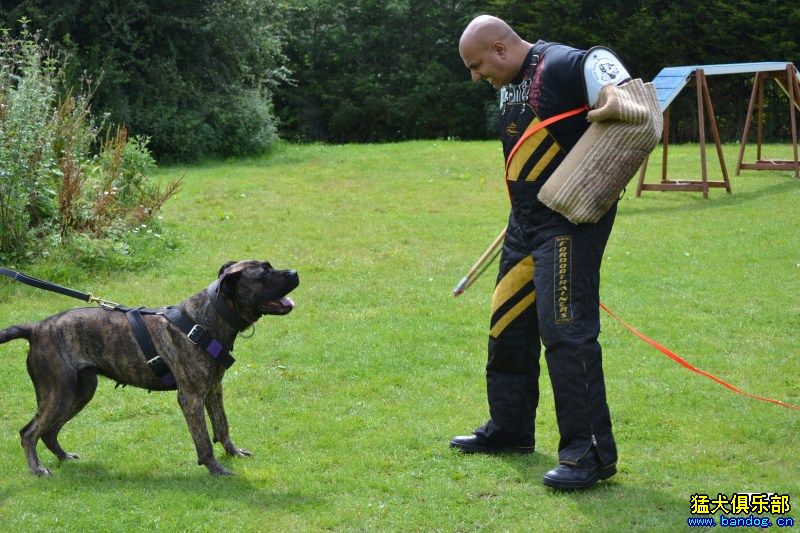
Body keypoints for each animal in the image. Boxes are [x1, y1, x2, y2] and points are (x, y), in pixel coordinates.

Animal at [0, 260, 298, 476]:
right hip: (58, 394)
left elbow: (222, 426)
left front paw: (233, 453)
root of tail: (36, 328)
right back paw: (37, 468)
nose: (295, 272)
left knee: (49, 432)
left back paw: (64, 457)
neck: (205, 319)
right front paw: (215, 469)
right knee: (29, 433)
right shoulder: (191, 397)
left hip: (79, 392)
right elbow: (203, 440)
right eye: (265, 272)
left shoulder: (214, 389)